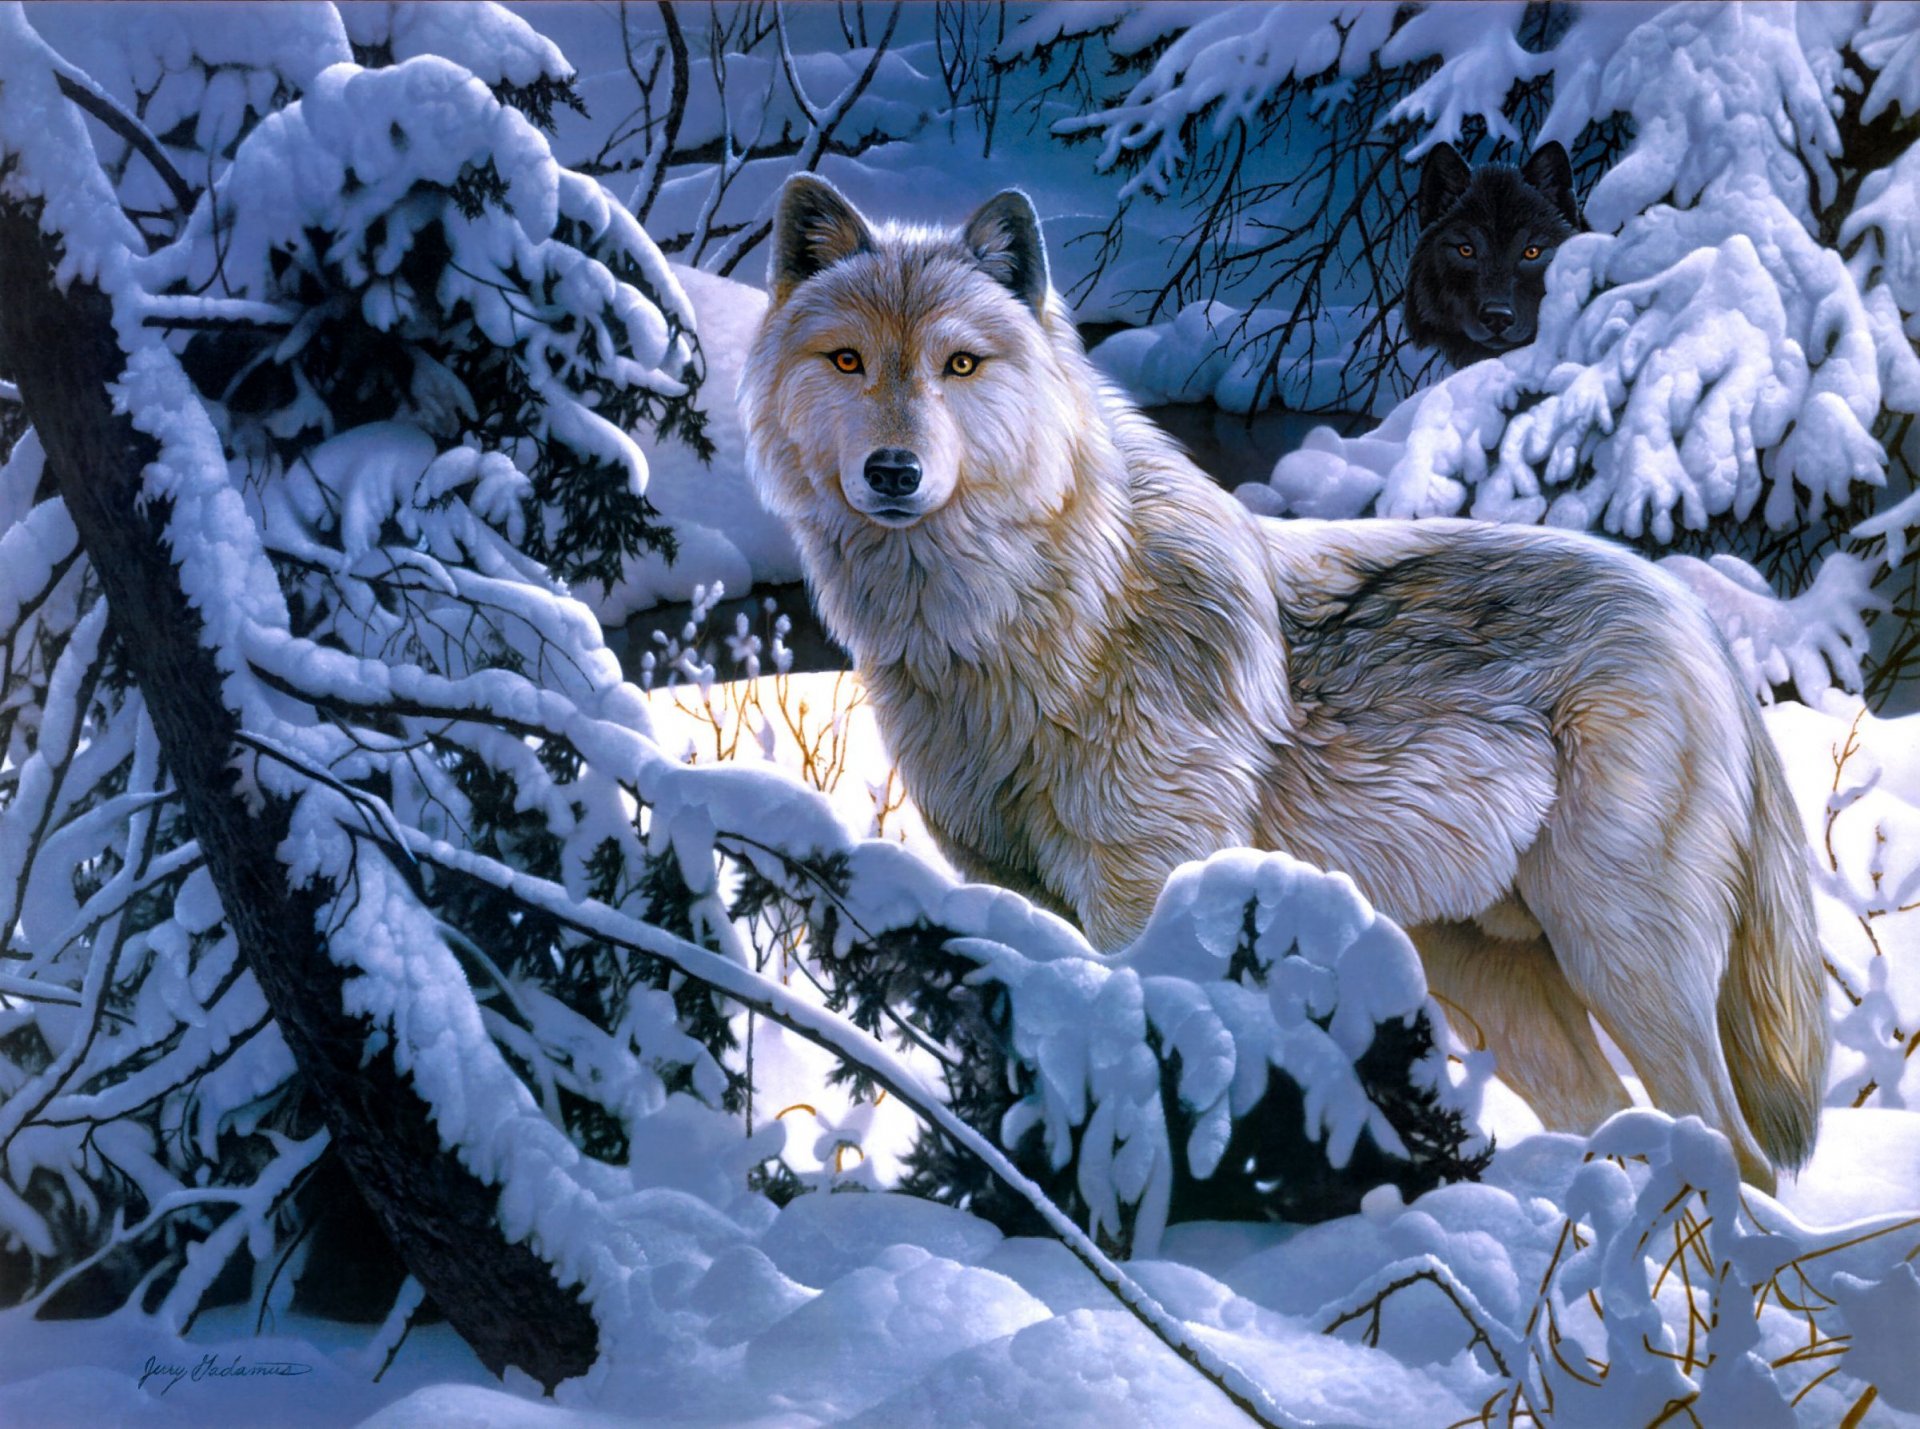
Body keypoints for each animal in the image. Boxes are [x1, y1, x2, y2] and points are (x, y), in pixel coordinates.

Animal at [739, 175, 1828, 1192]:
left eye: (959, 364)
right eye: (848, 360)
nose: (892, 471)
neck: (1025, 623)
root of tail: (1697, 621)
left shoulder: (1143, 897)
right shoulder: (1014, 898)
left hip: (1621, 959)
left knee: (1738, 1153)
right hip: (1494, 983)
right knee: (1616, 1124)